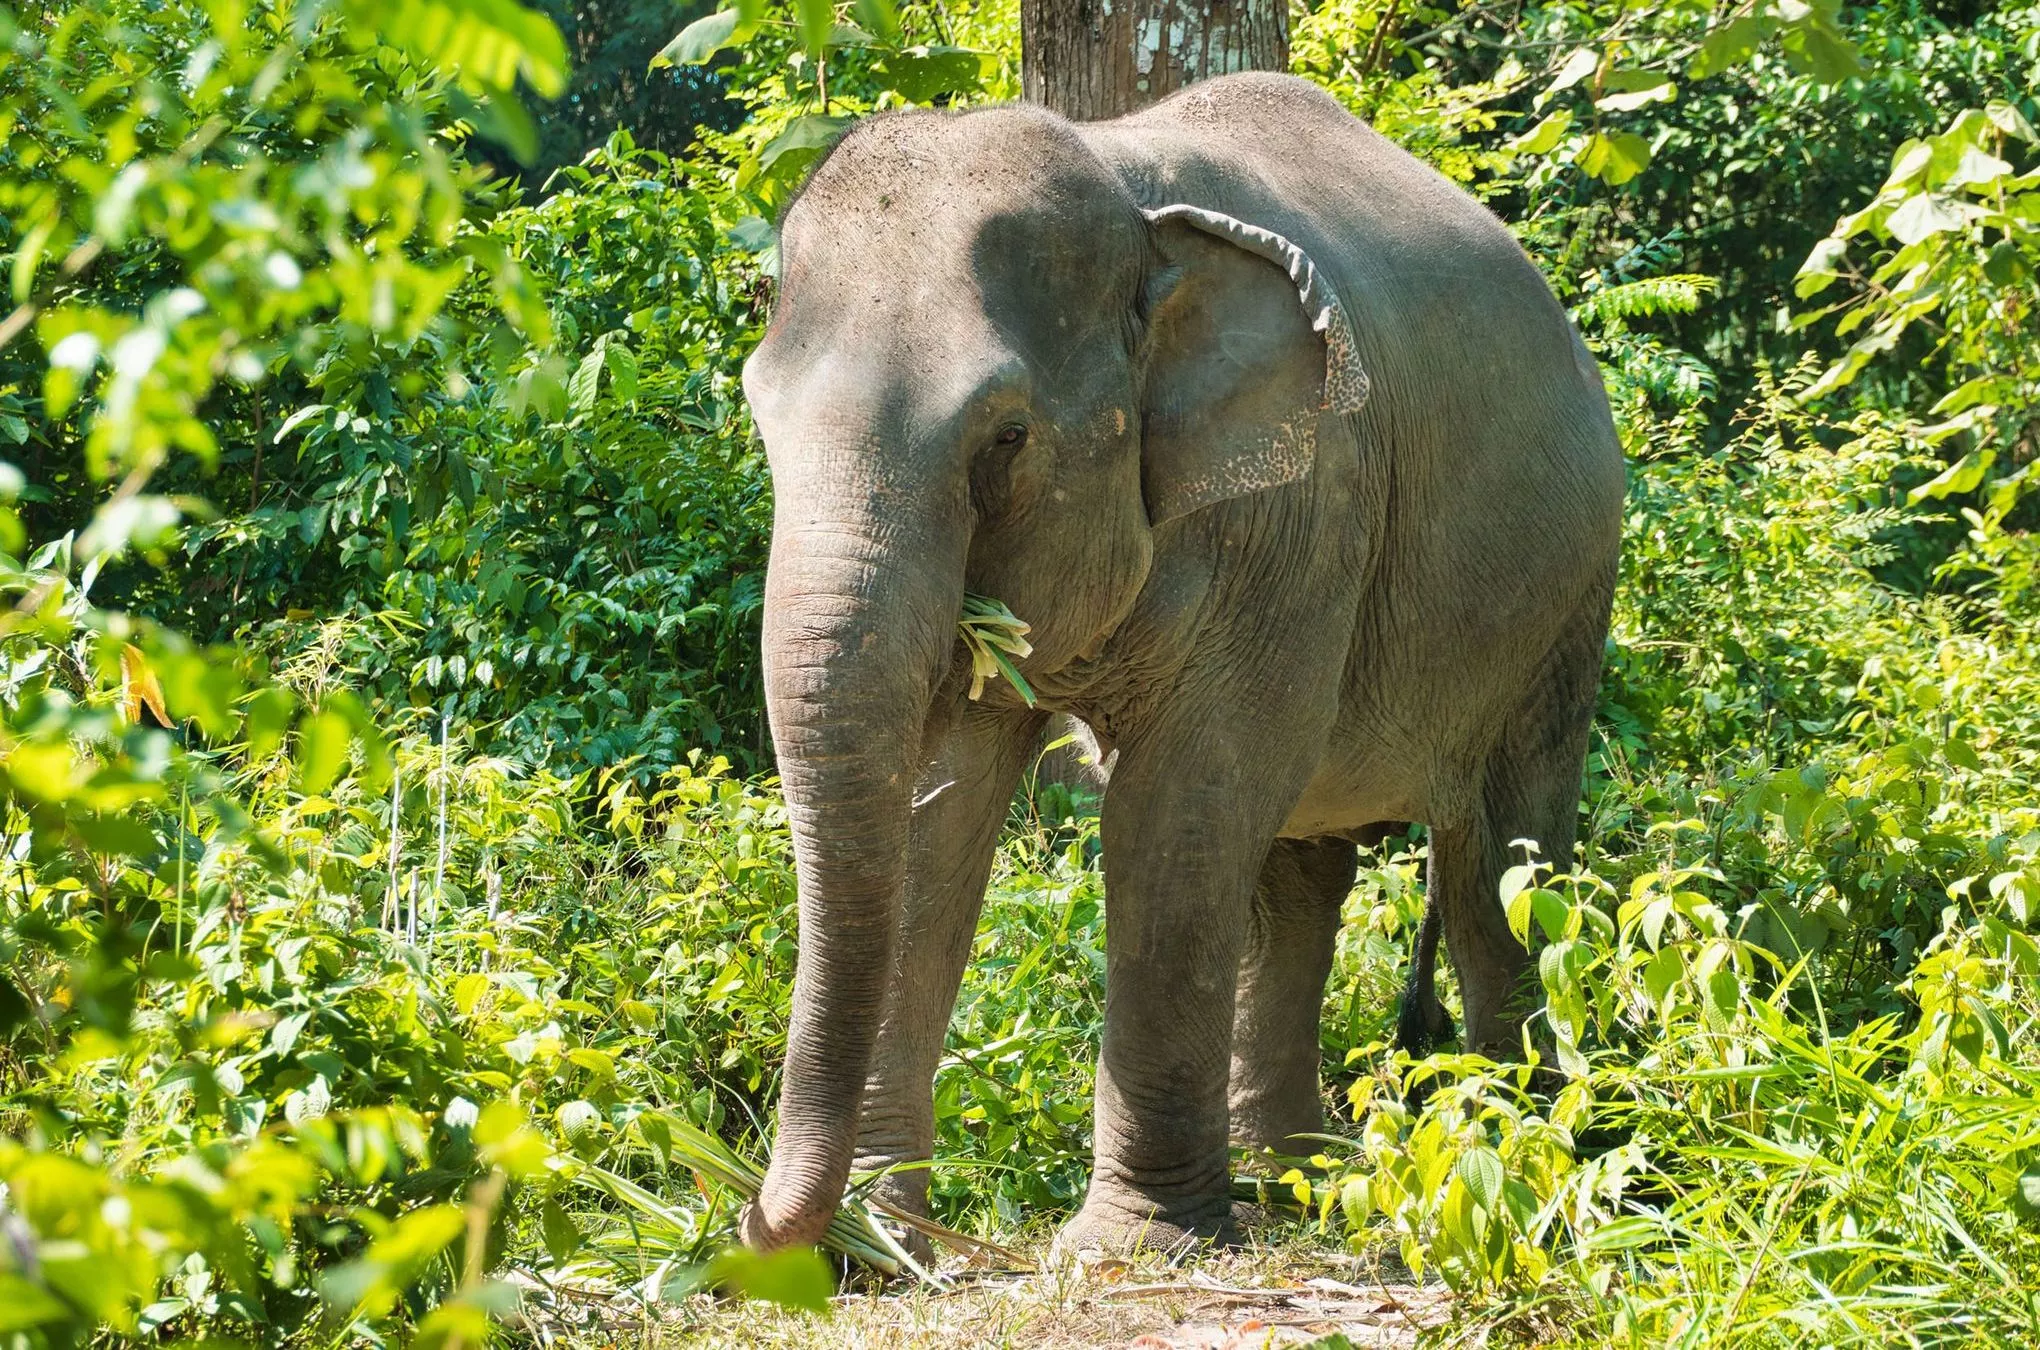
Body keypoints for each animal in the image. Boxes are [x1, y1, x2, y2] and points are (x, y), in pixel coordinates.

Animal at [738, 73, 1623, 1256]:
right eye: (760, 417)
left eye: (1006, 438)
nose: (753, 1224)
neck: (1128, 194)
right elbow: (940, 813)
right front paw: (880, 1246)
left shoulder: (1301, 505)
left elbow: (1175, 809)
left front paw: (1127, 1246)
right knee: (1299, 871)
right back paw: (1292, 1180)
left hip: (1565, 598)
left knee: (1500, 867)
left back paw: (1519, 1158)